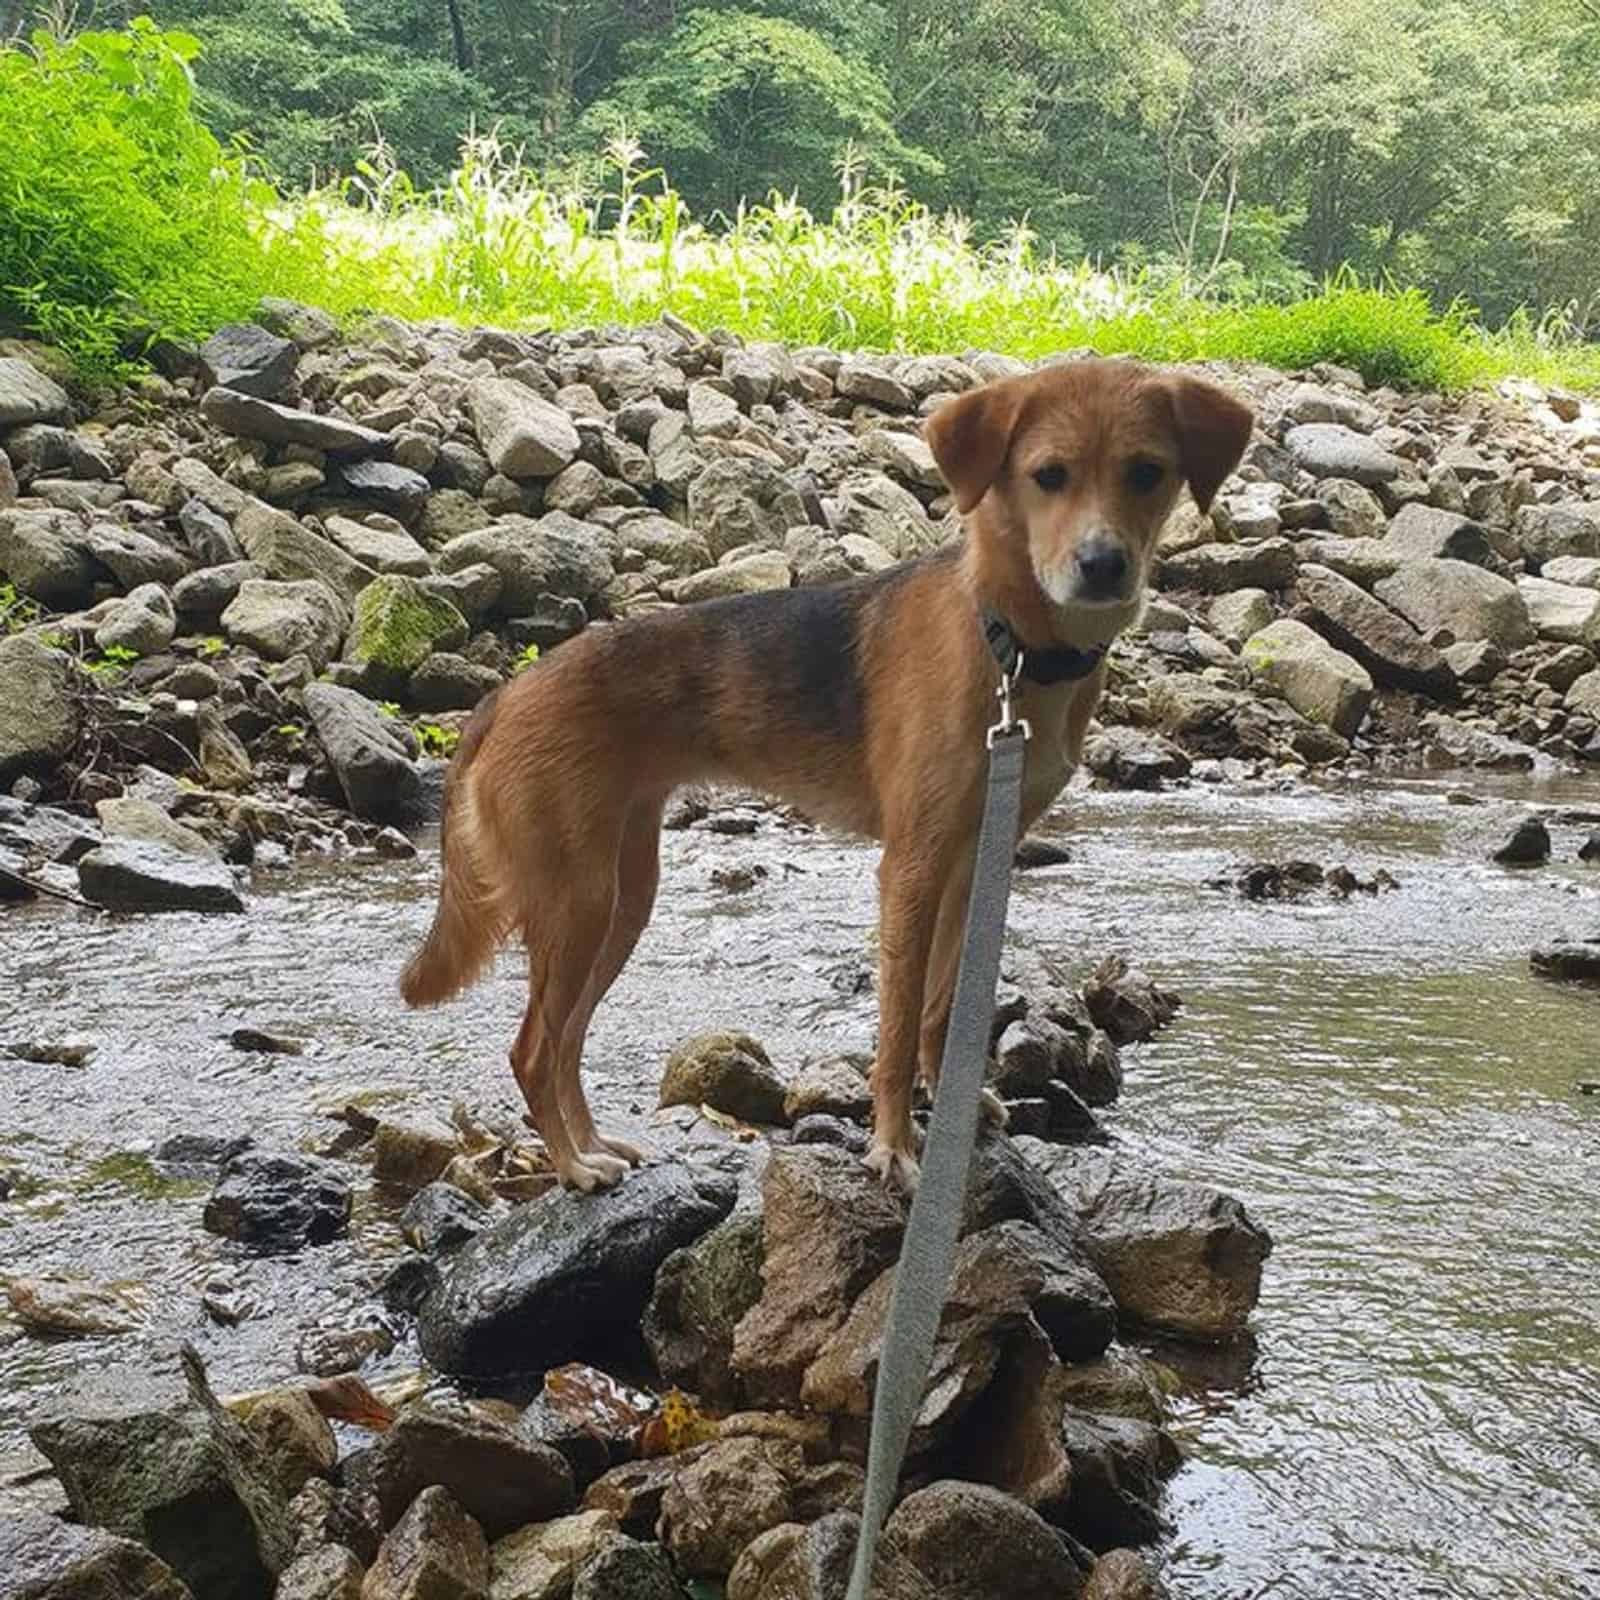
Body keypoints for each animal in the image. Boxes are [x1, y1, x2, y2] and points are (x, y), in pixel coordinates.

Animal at [396, 360, 1248, 1190]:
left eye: (1147, 472)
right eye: (1049, 476)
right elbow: (896, 1028)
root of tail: (505, 696)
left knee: (566, 1039)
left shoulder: (973, 864)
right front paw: (893, 1147)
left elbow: (942, 1006)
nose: (1103, 566)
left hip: (619, 901)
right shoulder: (910, 868)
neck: (1009, 645)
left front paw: (952, 1105)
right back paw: (573, 1167)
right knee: (533, 1049)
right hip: (577, 900)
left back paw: (593, 1145)